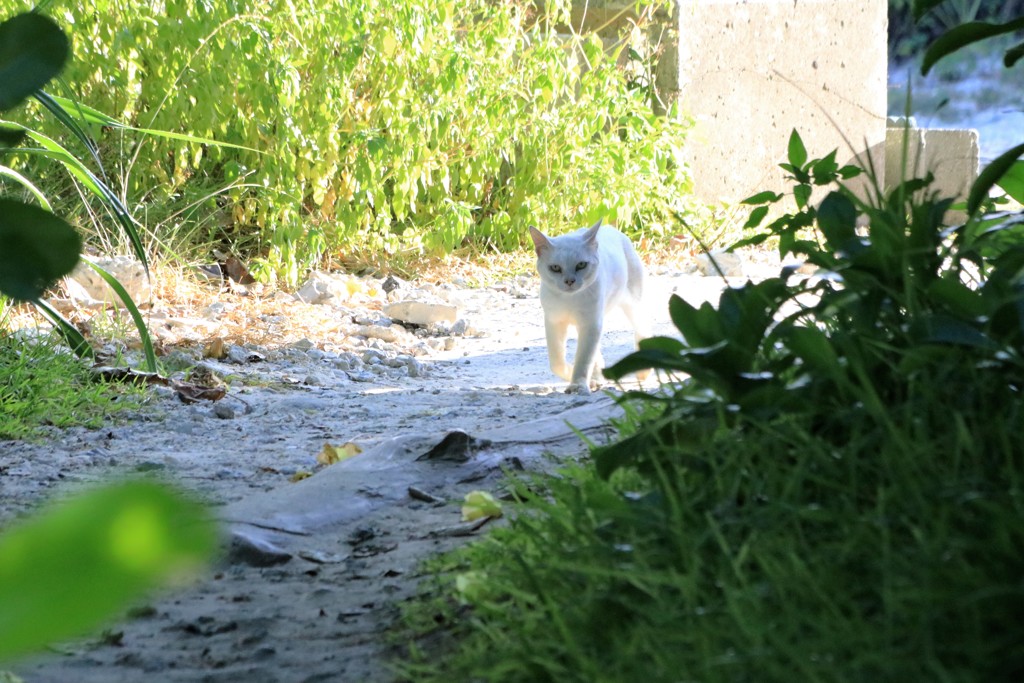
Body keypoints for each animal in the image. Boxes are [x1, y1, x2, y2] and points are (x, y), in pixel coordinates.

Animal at [528, 216, 647, 393]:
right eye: (555, 268)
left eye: (581, 265)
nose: (569, 281)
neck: (569, 299)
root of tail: (611, 229)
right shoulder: (554, 322)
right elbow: (557, 362)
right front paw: (577, 377)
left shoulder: (590, 323)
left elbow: (584, 359)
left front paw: (578, 384)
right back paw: (596, 377)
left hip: (634, 305)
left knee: (643, 331)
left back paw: (643, 372)